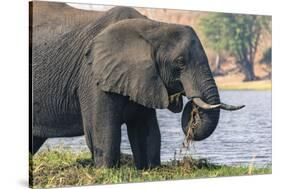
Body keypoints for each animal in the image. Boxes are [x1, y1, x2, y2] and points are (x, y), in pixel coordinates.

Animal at [31, 6, 243, 170]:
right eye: (180, 62)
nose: (191, 108)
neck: (154, 26)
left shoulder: (142, 77)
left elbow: (146, 129)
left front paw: (150, 169)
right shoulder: (93, 75)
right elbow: (103, 129)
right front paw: (106, 171)